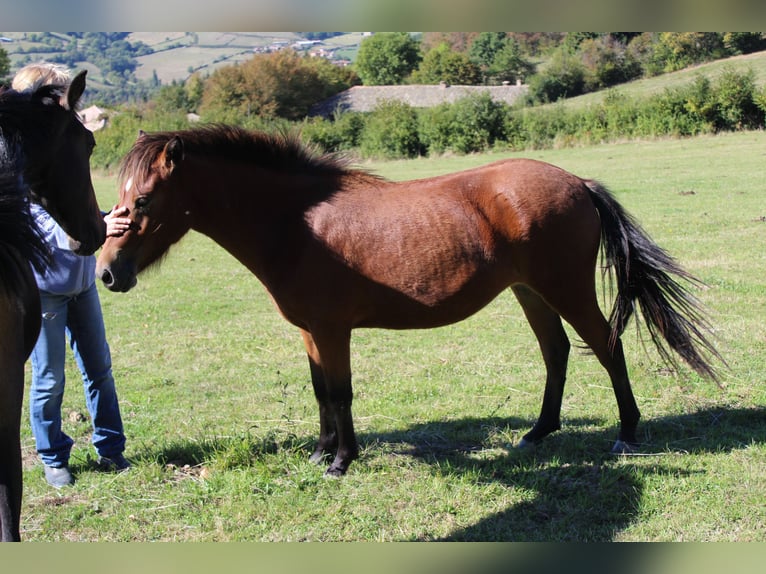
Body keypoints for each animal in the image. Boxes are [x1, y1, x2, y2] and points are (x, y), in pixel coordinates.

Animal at [94, 128, 720, 480]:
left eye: (142, 199)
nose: (106, 272)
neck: (295, 222)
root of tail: (577, 182)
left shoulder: (332, 330)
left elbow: (341, 394)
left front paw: (341, 462)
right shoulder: (310, 332)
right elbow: (321, 393)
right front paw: (320, 455)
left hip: (564, 288)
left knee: (607, 347)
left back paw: (628, 434)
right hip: (530, 292)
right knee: (557, 353)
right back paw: (538, 434)